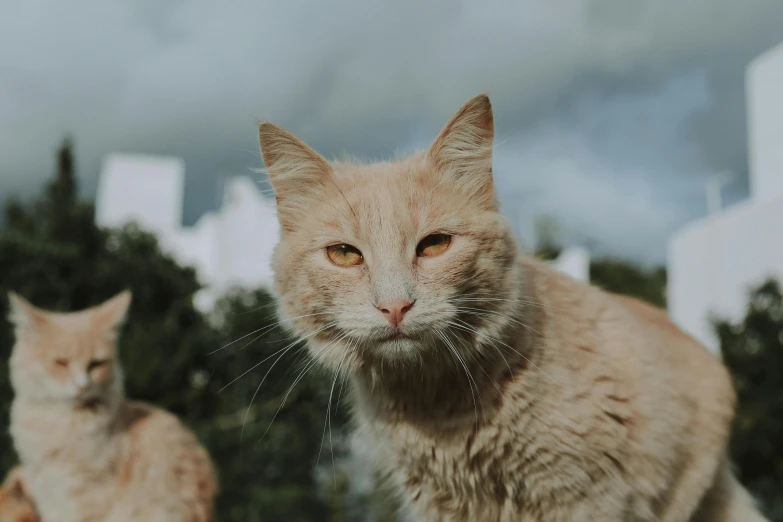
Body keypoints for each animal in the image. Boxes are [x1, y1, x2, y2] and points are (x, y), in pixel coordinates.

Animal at [7, 290, 219, 516]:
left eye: (96, 364)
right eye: (61, 362)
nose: (82, 386)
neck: (57, 420)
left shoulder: (88, 494)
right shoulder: (47, 491)